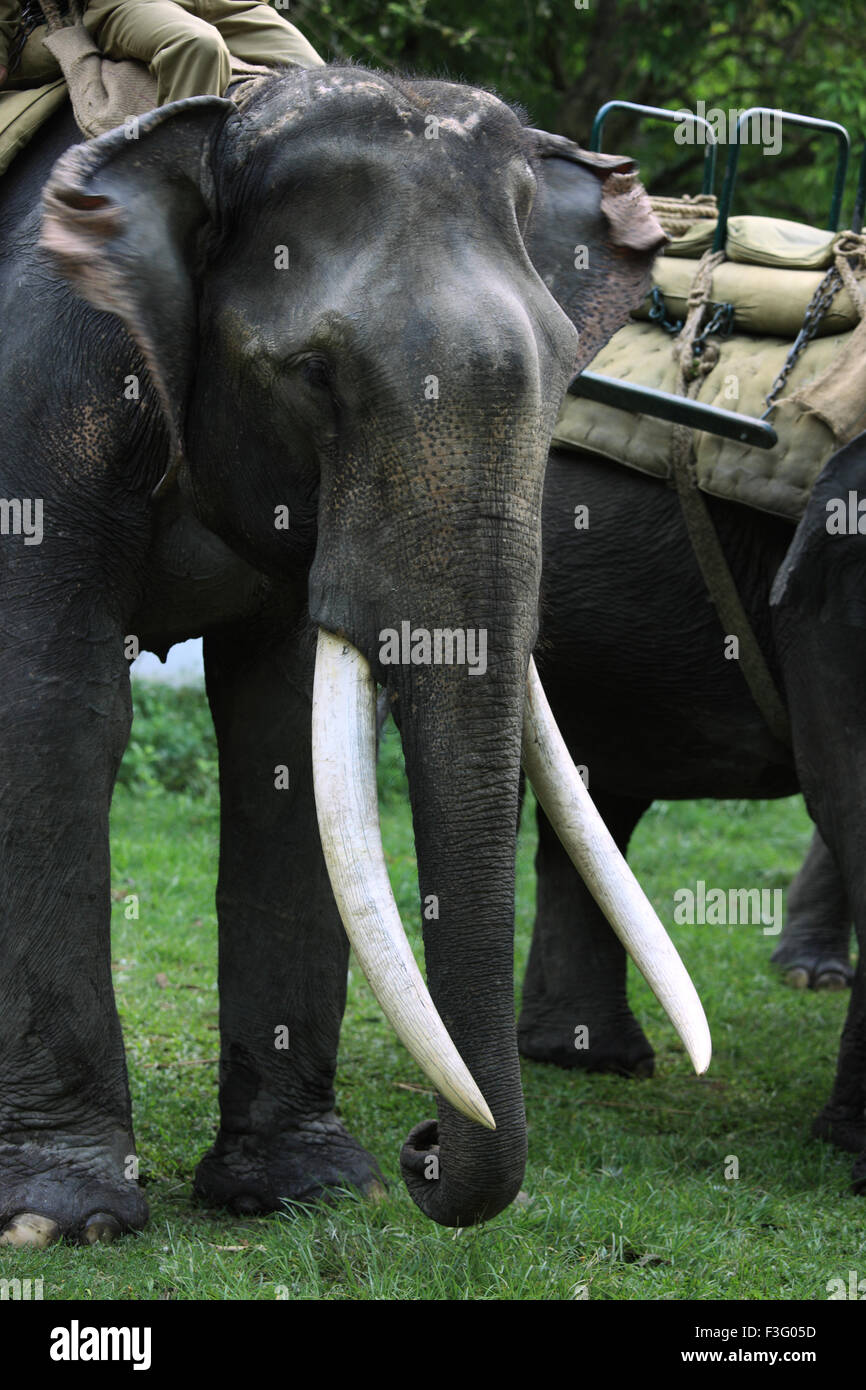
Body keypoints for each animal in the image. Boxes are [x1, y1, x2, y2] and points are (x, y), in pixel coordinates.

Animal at [0, 59, 700, 1245]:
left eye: (569, 369)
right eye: (315, 375)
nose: (425, 1149)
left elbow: (285, 730)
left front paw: (308, 1188)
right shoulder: (38, 389)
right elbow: (54, 706)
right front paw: (64, 1217)